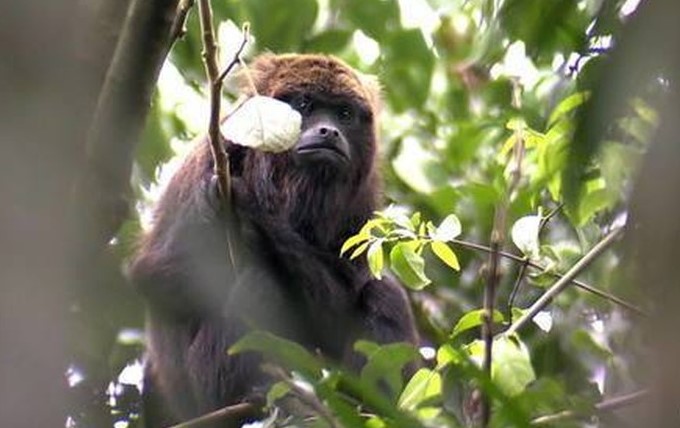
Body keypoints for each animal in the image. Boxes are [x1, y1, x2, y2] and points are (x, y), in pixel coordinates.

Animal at [129, 53, 419, 427]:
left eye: (344, 113)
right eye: (304, 105)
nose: (329, 131)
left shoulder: (363, 198)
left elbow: (343, 296)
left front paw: (249, 213)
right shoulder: (215, 153)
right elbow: (154, 274)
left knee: (385, 292)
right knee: (262, 281)